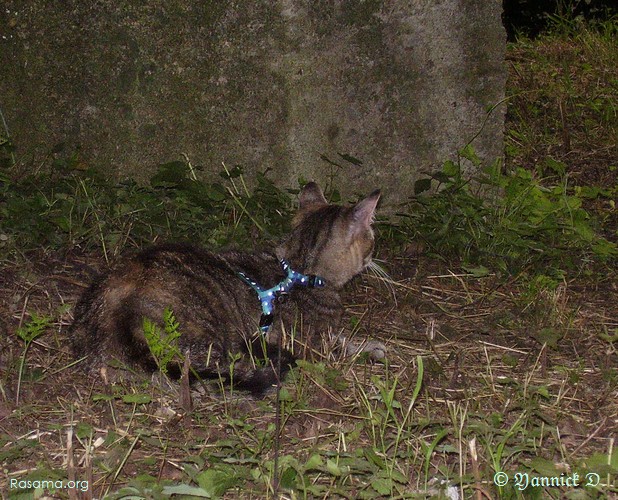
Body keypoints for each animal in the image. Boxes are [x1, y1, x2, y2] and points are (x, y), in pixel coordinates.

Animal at [70, 182, 382, 392]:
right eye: (371, 241)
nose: (373, 258)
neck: (298, 269)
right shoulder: (315, 345)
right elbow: (344, 345)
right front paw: (374, 349)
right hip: (211, 339)